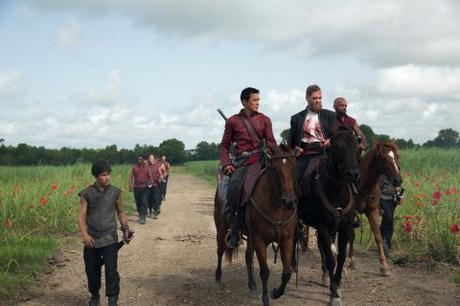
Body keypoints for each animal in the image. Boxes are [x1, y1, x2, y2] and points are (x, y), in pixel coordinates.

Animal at [214, 143, 296, 306]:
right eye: (275, 169)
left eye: (294, 167)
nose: (289, 202)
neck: (276, 206)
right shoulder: (259, 239)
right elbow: (264, 271)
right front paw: (265, 299)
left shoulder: (287, 239)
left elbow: (287, 272)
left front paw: (276, 292)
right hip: (221, 228)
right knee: (220, 250)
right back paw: (218, 277)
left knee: (247, 256)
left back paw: (252, 285)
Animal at [298, 130, 362, 306]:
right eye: (336, 146)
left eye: (356, 145)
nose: (353, 174)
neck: (336, 190)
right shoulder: (323, 226)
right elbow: (331, 259)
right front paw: (333, 294)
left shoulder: (345, 227)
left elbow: (340, 257)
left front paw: (337, 285)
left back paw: (325, 276)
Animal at [348, 140, 402, 274]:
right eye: (383, 158)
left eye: (397, 156)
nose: (398, 180)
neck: (363, 184)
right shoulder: (351, 212)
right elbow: (351, 235)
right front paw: (352, 260)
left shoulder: (373, 211)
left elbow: (378, 236)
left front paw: (384, 265)